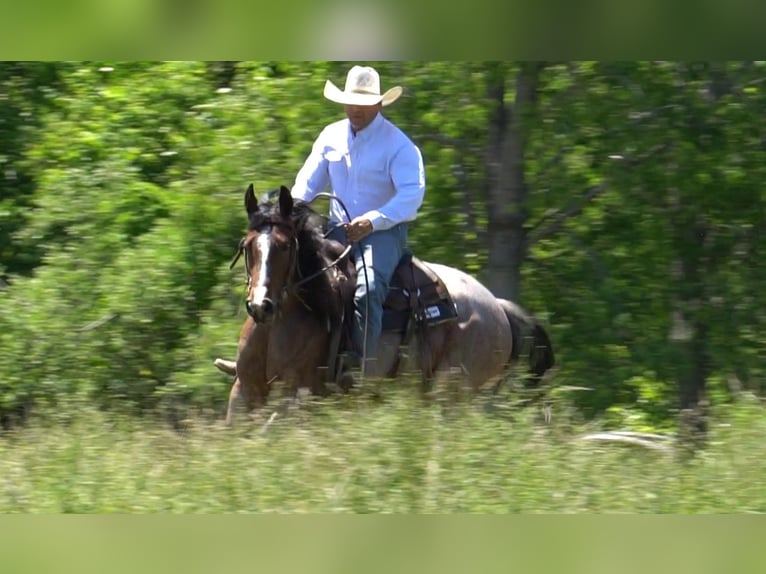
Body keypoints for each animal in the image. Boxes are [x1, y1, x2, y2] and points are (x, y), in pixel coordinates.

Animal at [221, 183, 554, 422]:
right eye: (247, 246)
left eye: (285, 246)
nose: (261, 306)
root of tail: (498, 308)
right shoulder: (244, 392)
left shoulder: (297, 396)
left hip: (455, 392)